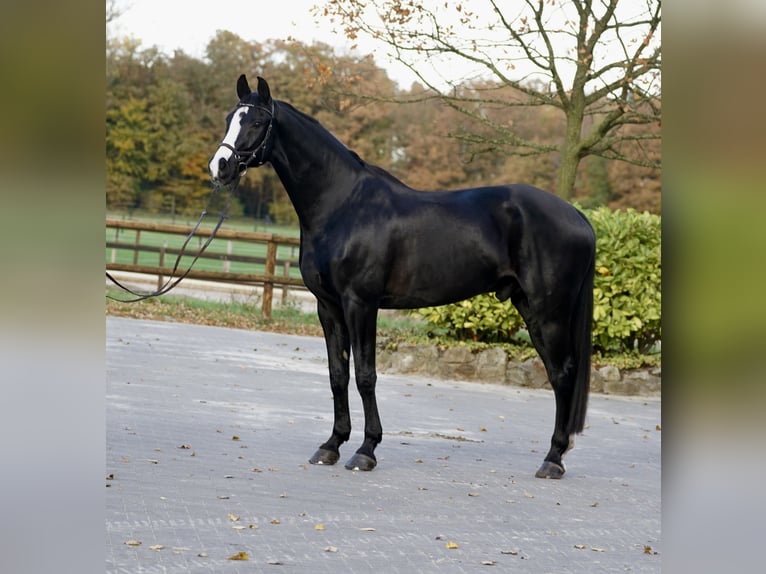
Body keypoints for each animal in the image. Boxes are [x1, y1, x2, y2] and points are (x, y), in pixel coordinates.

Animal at [209, 75, 595, 479]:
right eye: (229, 118)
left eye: (256, 122)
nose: (219, 167)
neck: (344, 205)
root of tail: (578, 216)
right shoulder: (328, 306)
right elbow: (337, 374)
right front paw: (331, 445)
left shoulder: (361, 304)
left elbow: (365, 375)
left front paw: (366, 450)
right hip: (529, 307)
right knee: (557, 373)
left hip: (549, 313)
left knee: (563, 374)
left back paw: (553, 459)